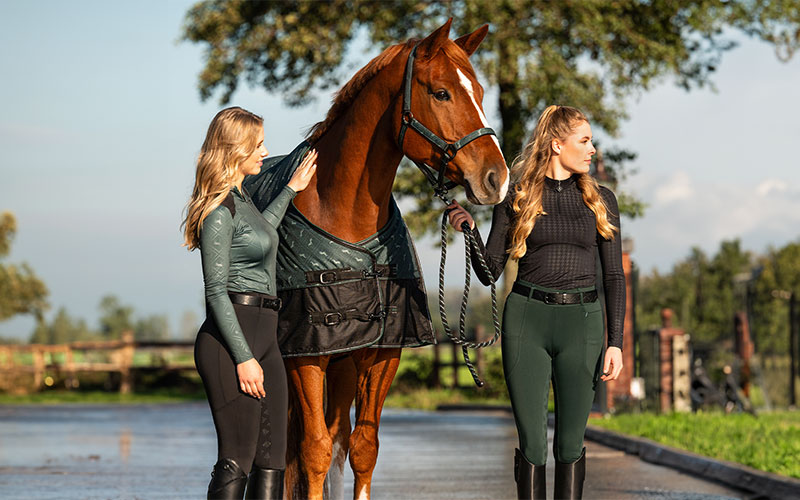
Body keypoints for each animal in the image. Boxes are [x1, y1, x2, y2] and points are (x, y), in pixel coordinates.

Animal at [282, 20, 506, 500]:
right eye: (441, 93)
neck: (345, 217)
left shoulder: (383, 353)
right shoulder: (305, 354)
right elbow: (313, 450)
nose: (497, 178)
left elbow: (362, 447)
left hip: (345, 366)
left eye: (480, 91)